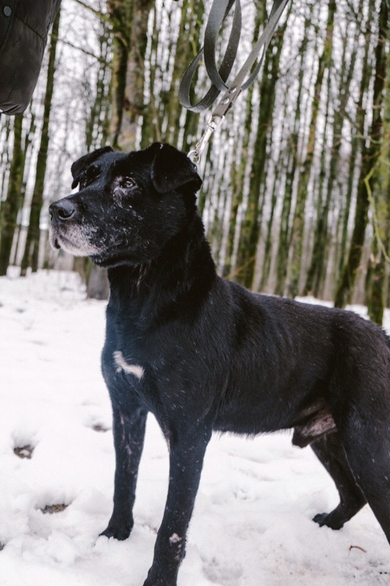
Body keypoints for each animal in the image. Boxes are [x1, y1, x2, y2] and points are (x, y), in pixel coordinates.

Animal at [50, 143, 390, 584]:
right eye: (87, 177)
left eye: (128, 183)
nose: (56, 209)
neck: (144, 303)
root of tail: (383, 337)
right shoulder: (126, 410)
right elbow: (124, 482)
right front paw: (114, 536)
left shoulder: (190, 434)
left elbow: (173, 525)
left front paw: (158, 579)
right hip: (331, 440)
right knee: (352, 494)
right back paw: (328, 524)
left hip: (369, 447)